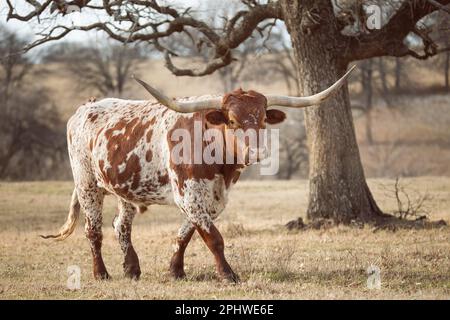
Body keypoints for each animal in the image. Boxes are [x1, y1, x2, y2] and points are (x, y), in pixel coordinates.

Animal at [43, 66, 356, 282]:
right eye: (232, 121)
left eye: (263, 120)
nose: (256, 152)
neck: (219, 162)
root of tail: (86, 107)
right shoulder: (189, 195)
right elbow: (213, 237)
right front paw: (228, 275)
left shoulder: (214, 199)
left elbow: (187, 233)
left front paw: (175, 271)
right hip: (87, 184)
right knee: (93, 230)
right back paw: (102, 274)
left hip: (124, 187)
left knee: (121, 225)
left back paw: (132, 269)